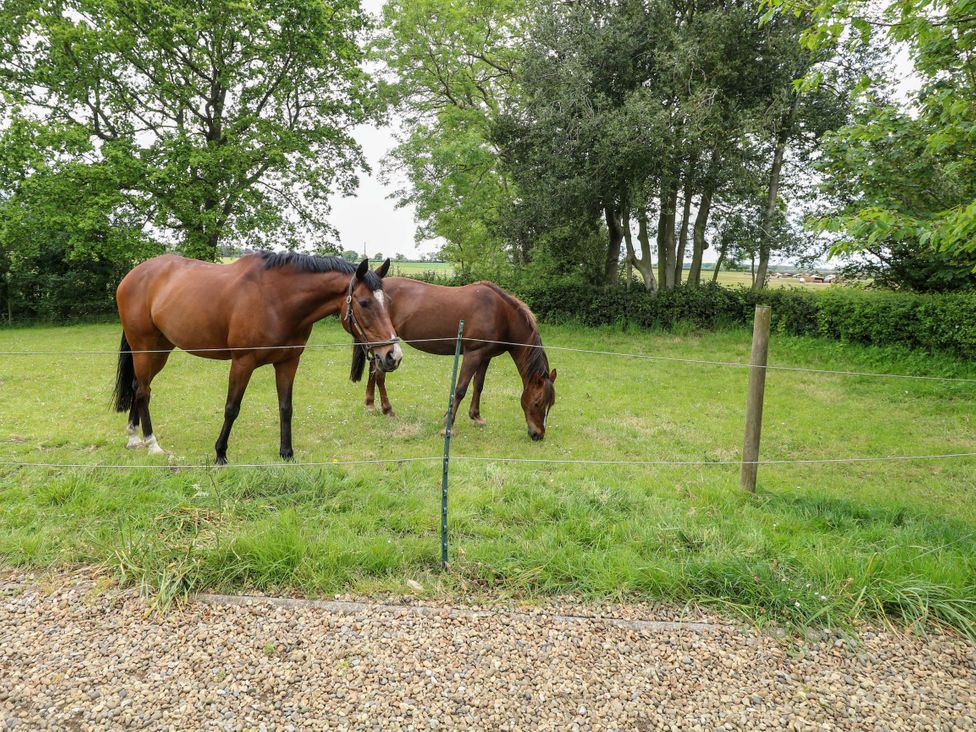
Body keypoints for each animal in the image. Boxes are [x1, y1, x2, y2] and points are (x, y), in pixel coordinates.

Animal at [113, 252, 403, 464]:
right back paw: (152, 444)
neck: (277, 299)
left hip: (160, 350)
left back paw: (134, 438)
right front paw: (220, 454)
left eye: (388, 301)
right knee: (144, 392)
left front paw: (286, 453)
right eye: (364, 303)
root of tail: (133, 275)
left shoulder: (288, 362)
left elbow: (286, 407)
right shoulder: (243, 362)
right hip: (144, 349)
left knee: (138, 387)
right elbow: (232, 408)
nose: (393, 356)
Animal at [350, 278, 557, 440]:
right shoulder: (473, 354)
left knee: (374, 368)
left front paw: (476, 417)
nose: (538, 434)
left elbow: (478, 386)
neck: (501, 314)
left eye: (551, 404)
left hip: (380, 347)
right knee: (380, 375)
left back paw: (370, 404)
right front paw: (447, 426)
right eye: (537, 403)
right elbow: (460, 389)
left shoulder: (485, 357)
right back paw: (387, 409)